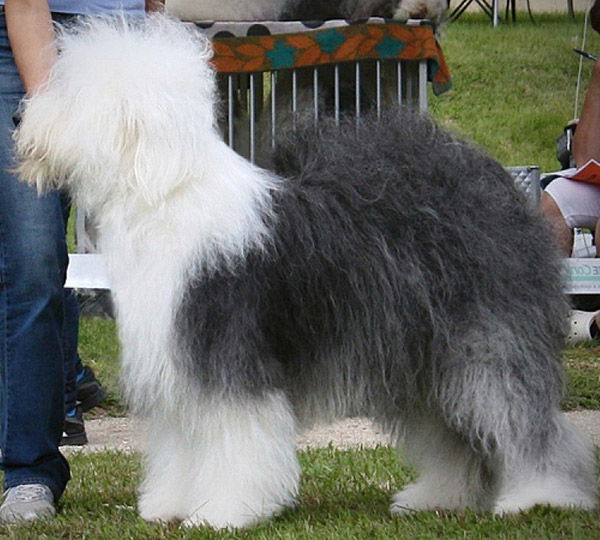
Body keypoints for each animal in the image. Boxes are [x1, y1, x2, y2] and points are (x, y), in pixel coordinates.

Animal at [14, 15, 596, 528]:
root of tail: (498, 187)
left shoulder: (229, 361)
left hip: (484, 342)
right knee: (453, 435)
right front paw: (170, 505)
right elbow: (182, 445)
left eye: (67, 94)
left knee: (521, 420)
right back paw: (438, 497)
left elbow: (236, 443)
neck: (160, 190)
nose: (18, 122)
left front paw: (223, 512)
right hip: (422, 357)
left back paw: (539, 497)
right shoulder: (181, 362)